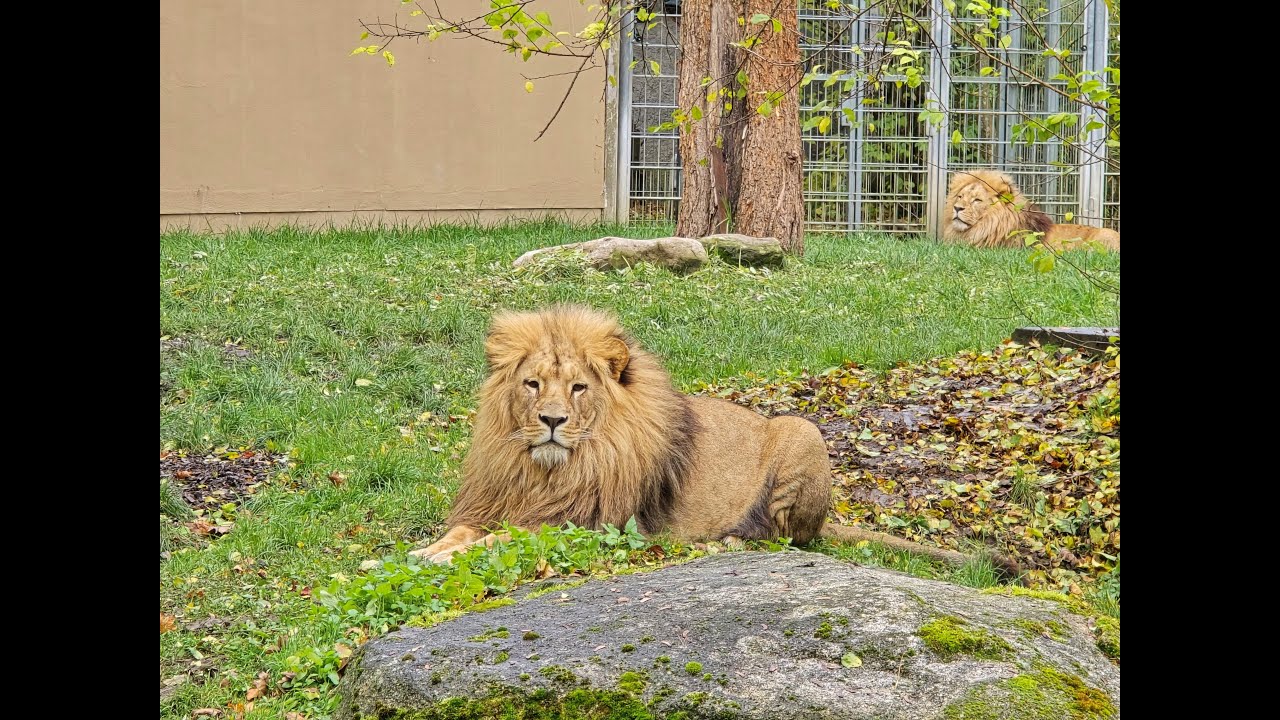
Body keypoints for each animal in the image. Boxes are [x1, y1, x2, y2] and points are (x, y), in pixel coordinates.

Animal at [411, 305, 1002, 570]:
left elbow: (501, 541)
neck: (545, 472)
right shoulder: (495, 502)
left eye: (579, 388)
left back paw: (728, 540)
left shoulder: (580, 526)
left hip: (802, 433)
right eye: (533, 384)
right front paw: (422, 551)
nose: (552, 420)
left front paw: (441, 559)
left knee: (786, 537)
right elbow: (461, 533)